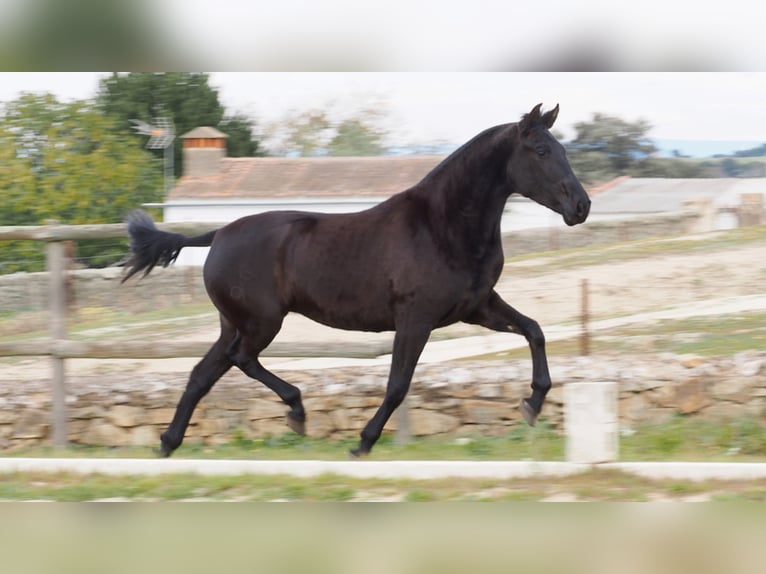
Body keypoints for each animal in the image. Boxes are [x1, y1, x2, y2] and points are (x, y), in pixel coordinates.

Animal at [124, 102, 592, 454]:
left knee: (202, 374)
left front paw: (533, 402)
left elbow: (534, 331)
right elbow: (398, 384)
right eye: (541, 151)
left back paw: (168, 443)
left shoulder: (476, 306)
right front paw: (362, 442)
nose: (582, 206)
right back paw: (296, 411)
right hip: (261, 322)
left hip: (234, 322)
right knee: (241, 359)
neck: (441, 226)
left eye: (564, 150)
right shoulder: (416, 318)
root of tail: (217, 234)